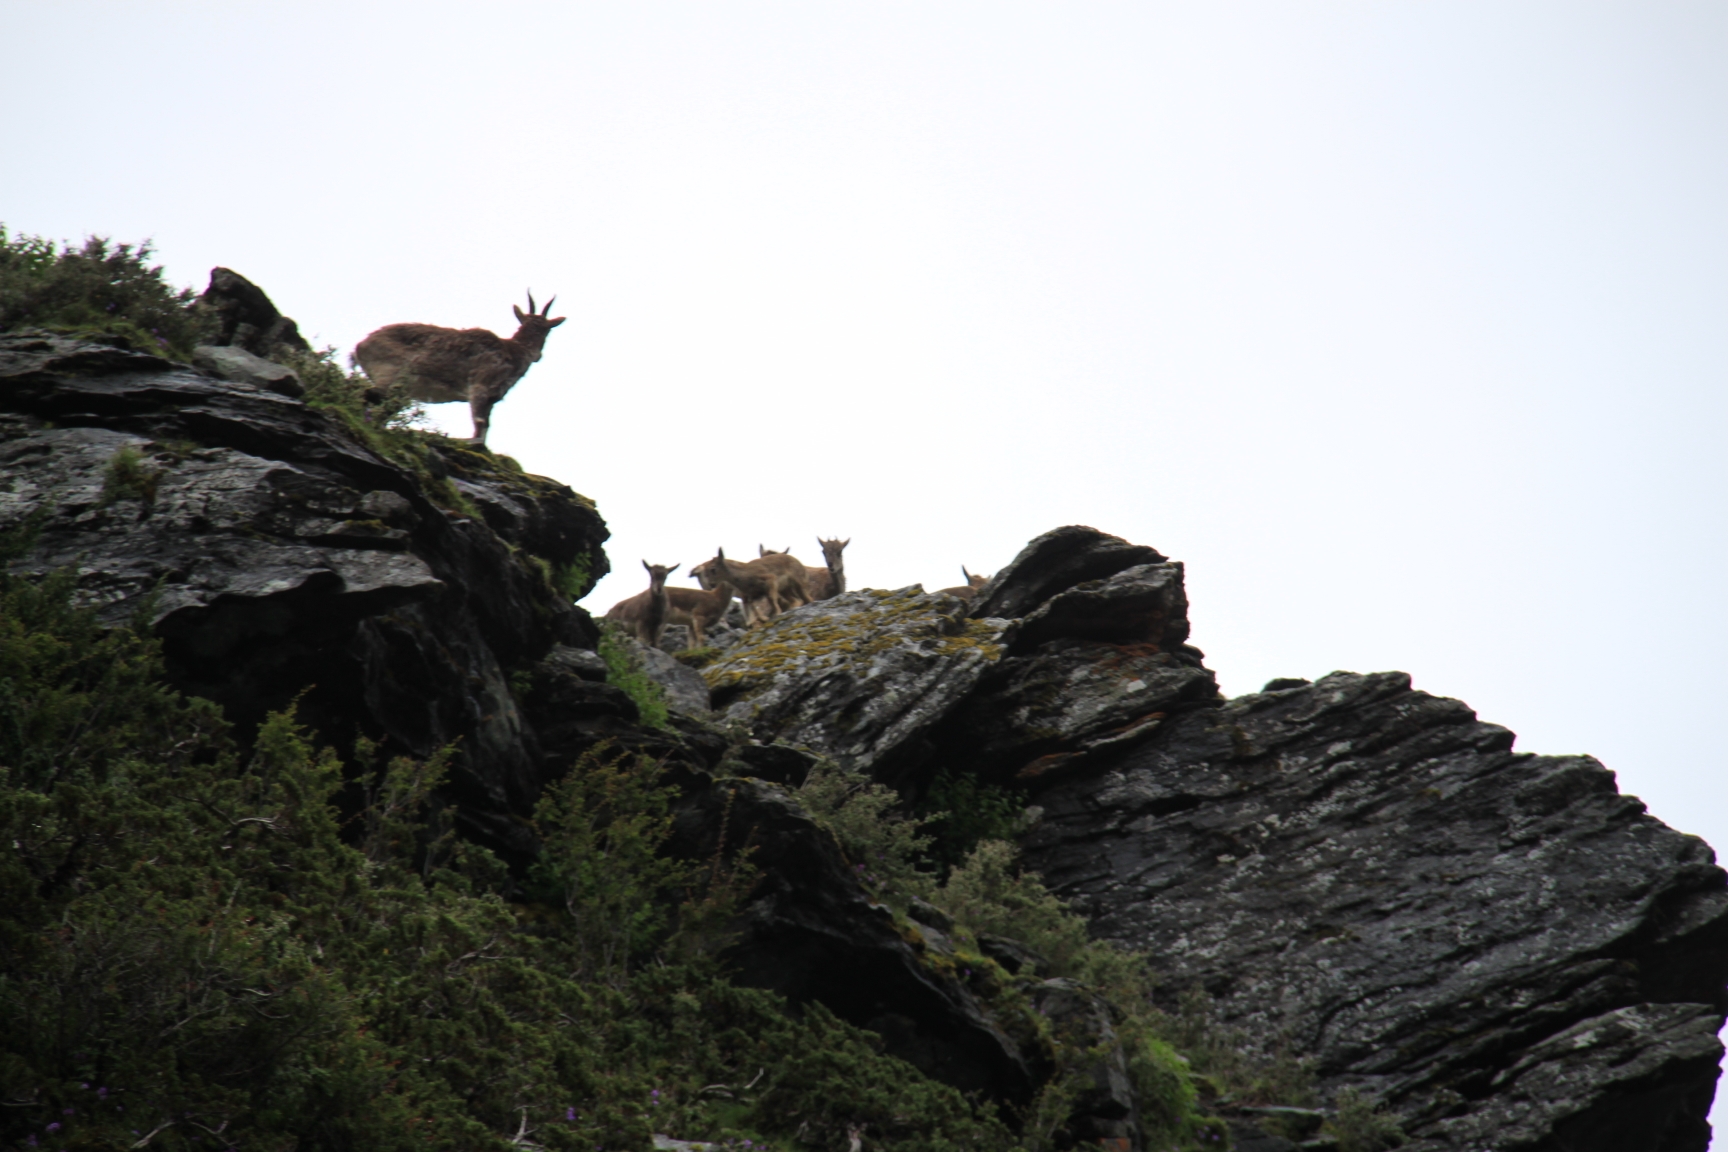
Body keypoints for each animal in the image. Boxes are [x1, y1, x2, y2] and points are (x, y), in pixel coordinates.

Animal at [350, 293, 566, 445]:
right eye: (548, 329)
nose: (538, 356)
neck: (512, 352)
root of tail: (360, 346)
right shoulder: (480, 387)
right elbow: (480, 426)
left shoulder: (492, 399)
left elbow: (486, 426)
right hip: (389, 377)